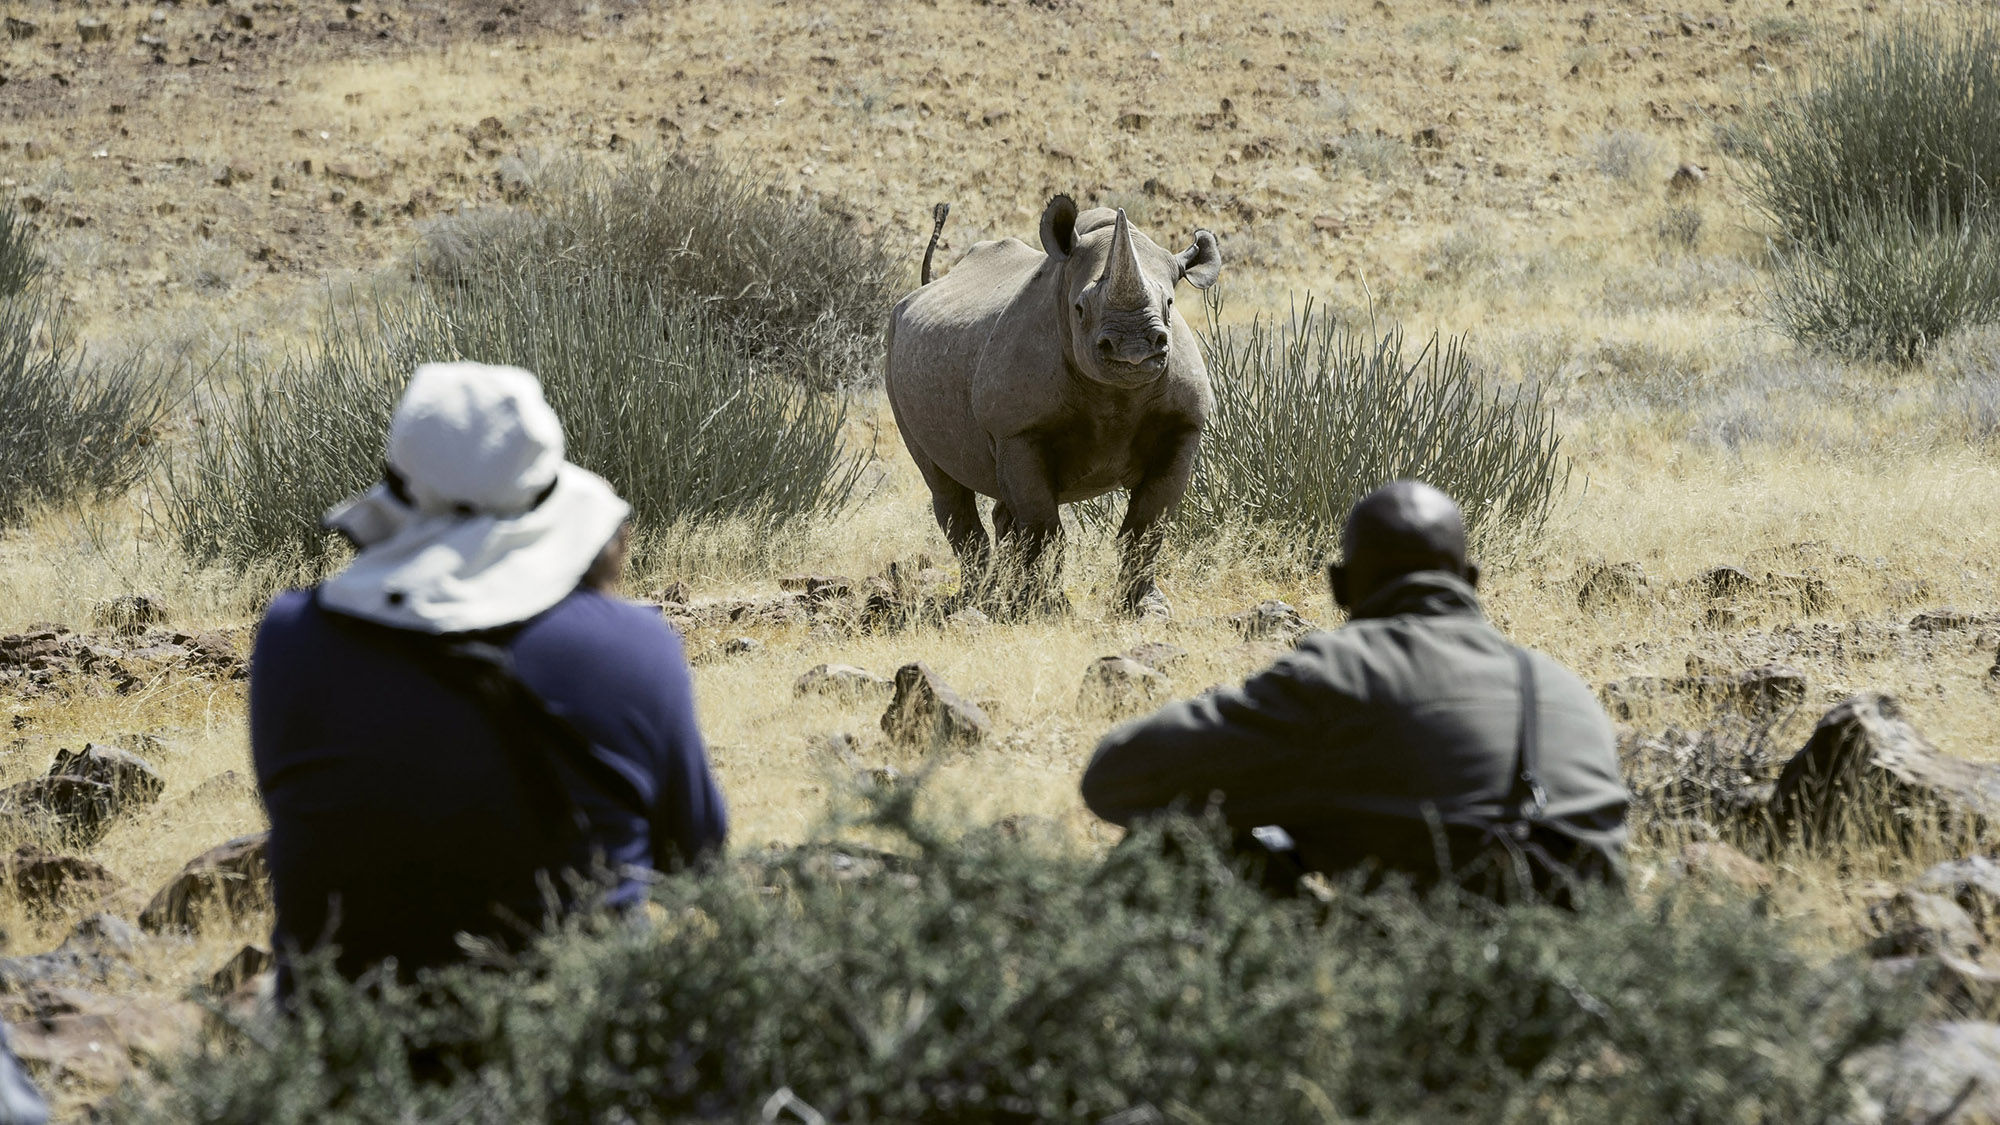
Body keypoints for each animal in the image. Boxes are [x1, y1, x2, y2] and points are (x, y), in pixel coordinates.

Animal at [885, 194, 1222, 614]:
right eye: (1079, 308)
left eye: (1171, 303)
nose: (1133, 351)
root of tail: (926, 288)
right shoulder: (1018, 431)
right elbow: (1043, 527)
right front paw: (1047, 609)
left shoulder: (1183, 426)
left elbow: (1147, 525)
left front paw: (1146, 610)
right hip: (892, 348)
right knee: (946, 487)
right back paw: (978, 601)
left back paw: (1002, 597)